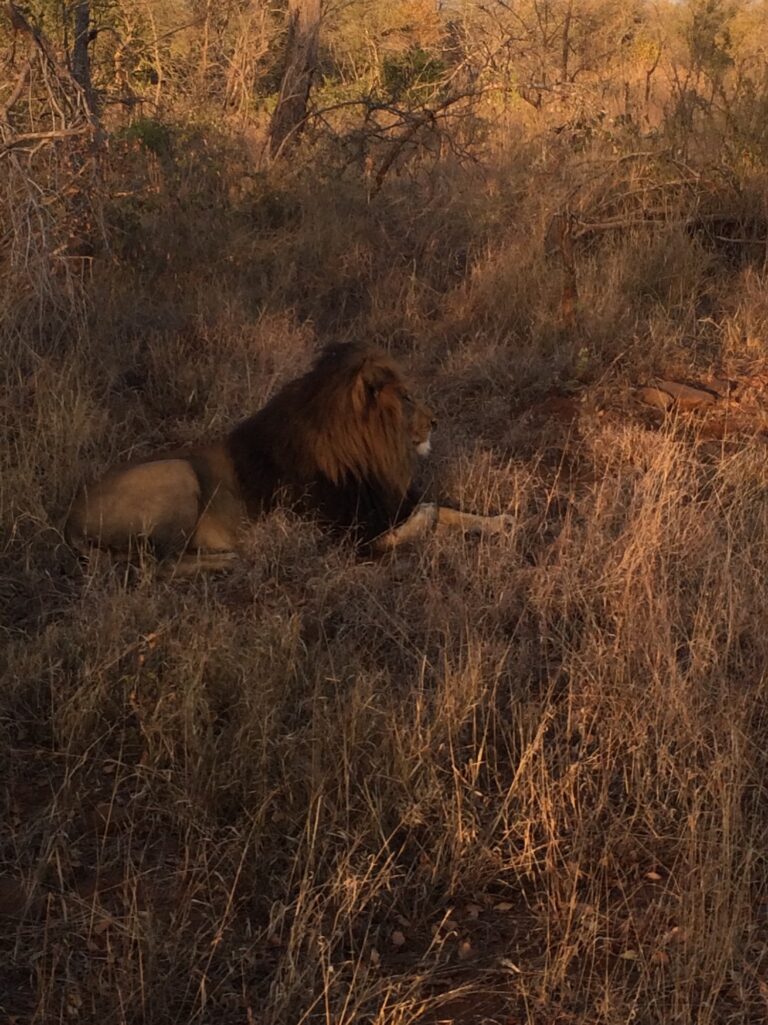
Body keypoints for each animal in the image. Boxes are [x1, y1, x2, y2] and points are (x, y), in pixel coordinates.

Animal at [64, 340, 508, 574]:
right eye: (406, 397)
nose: (436, 422)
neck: (367, 455)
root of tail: (69, 520)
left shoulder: (387, 502)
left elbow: (450, 509)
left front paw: (499, 521)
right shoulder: (338, 539)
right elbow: (418, 520)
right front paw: (429, 519)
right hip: (177, 472)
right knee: (161, 563)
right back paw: (235, 557)